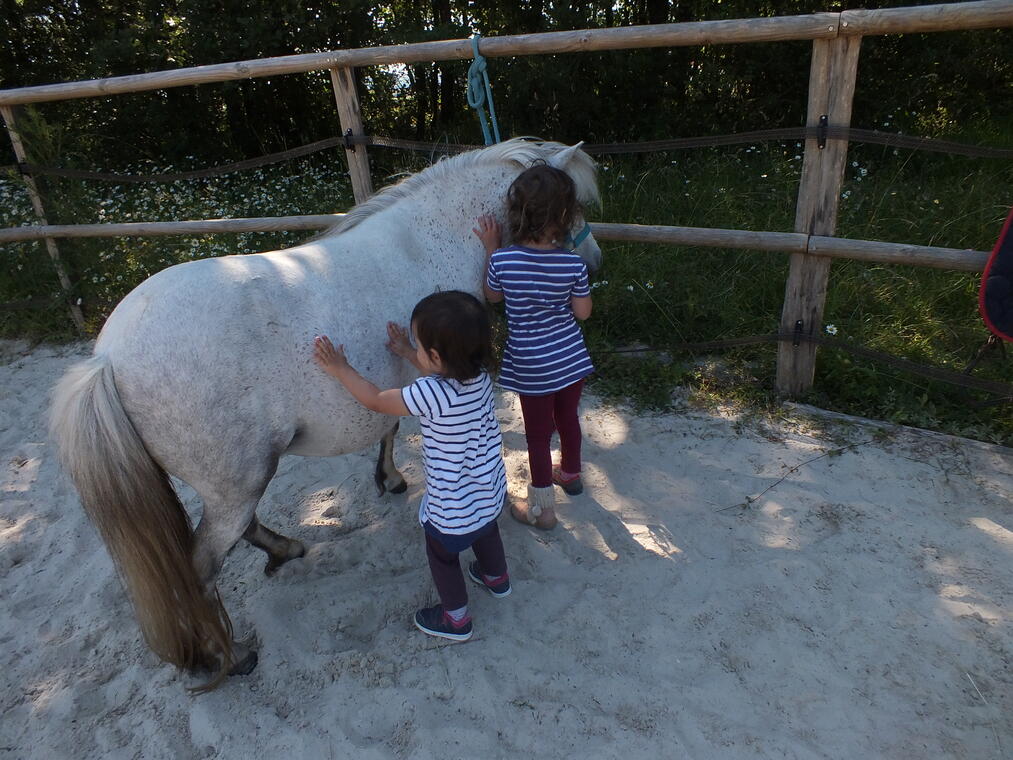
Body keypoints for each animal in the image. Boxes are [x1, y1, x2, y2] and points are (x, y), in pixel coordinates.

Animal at [49, 138, 599, 689]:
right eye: (574, 207)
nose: (594, 261)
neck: (427, 240)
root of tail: (107, 360)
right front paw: (397, 481)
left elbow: (389, 425)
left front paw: (388, 478)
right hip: (238, 481)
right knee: (203, 567)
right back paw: (234, 656)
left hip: (233, 482)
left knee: (239, 531)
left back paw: (285, 553)